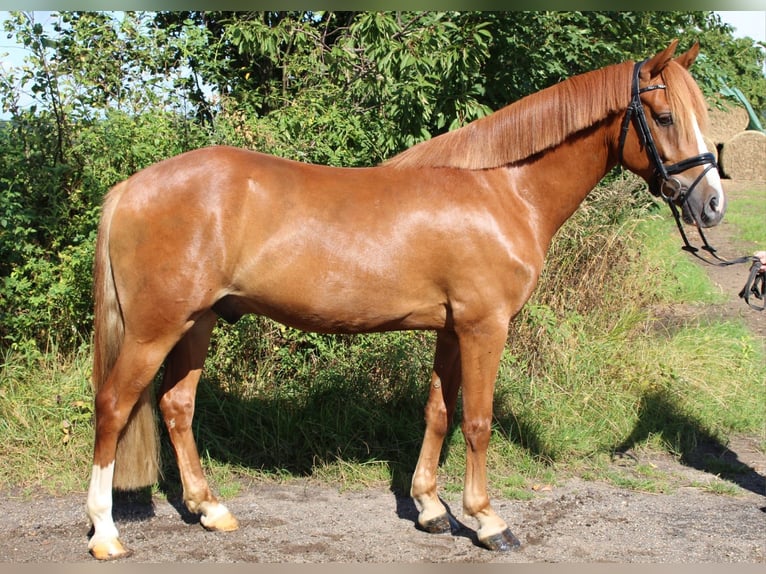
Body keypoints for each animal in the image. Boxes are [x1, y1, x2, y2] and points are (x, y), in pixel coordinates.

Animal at [88, 41, 728, 564]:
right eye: (664, 117)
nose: (713, 204)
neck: (502, 188)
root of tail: (129, 188)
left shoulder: (451, 328)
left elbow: (438, 412)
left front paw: (430, 509)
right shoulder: (484, 327)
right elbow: (477, 421)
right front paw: (488, 521)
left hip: (196, 324)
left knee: (176, 407)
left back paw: (210, 509)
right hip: (154, 329)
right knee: (114, 406)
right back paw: (105, 533)